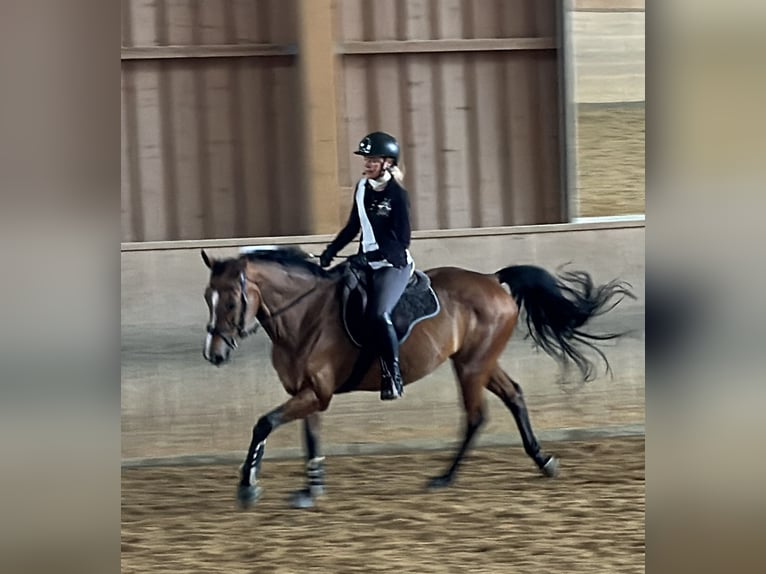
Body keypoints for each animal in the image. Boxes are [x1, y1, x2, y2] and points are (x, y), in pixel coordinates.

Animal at [200, 246, 635, 509]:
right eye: (208, 298)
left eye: (232, 301)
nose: (214, 354)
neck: (305, 316)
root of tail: (493, 280)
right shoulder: (309, 392)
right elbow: (310, 438)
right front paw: (312, 488)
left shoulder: (316, 393)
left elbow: (263, 423)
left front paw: (248, 484)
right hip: (480, 361)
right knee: (513, 396)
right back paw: (543, 461)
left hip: (471, 365)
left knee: (476, 415)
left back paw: (445, 477)